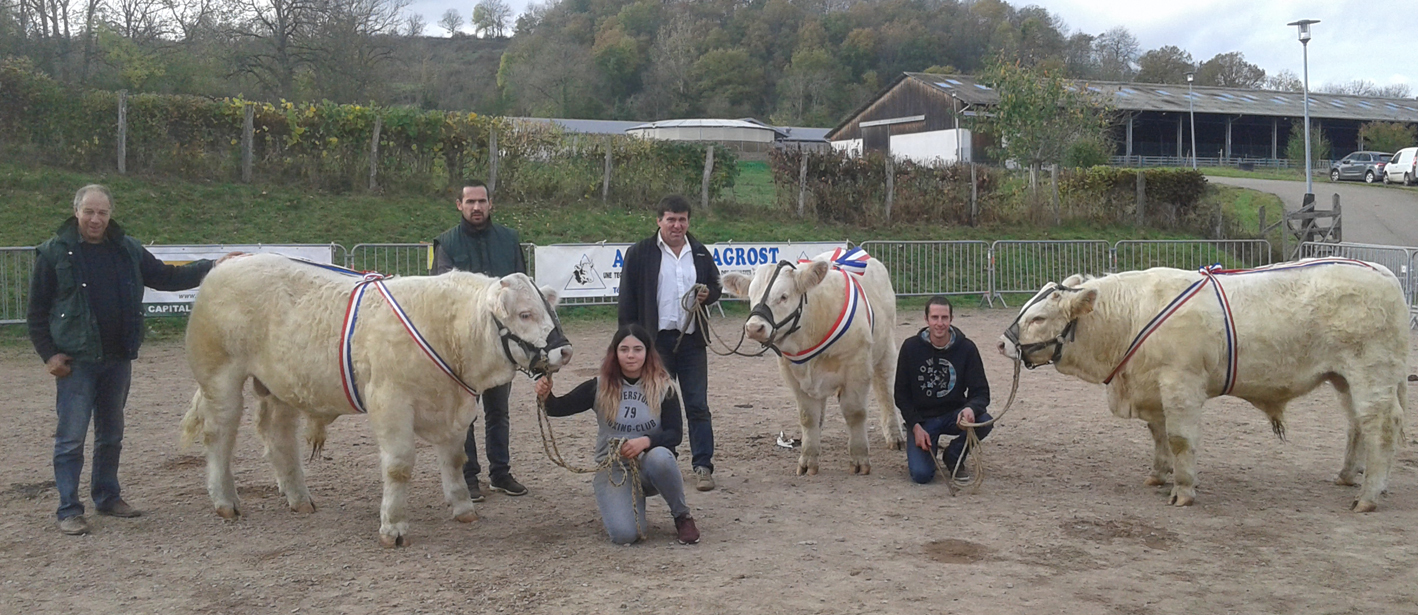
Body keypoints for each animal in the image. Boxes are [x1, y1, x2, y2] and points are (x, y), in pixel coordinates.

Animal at [182, 252, 570, 544]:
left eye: (551, 311)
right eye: (524, 314)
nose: (564, 350)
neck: (447, 333)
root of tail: (233, 260)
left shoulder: (456, 408)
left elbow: (455, 459)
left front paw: (463, 509)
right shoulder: (390, 401)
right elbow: (399, 466)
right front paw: (393, 527)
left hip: (281, 386)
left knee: (280, 438)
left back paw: (299, 498)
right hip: (220, 376)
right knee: (219, 435)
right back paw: (226, 501)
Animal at [726, 249, 901, 476]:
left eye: (783, 296)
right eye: (751, 296)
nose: (754, 328)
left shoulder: (858, 367)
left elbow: (855, 413)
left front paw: (860, 459)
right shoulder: (792, 374)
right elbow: (807, 417)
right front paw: (808, 460)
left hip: (886, 350)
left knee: (885, 392)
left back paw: (895, 436)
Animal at [998, 256, 1406, 512]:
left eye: (1038, 318)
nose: (1002, 343)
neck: (1131, 317)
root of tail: (1382, 271)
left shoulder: (1181, 383)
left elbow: (1179, 438)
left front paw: (1183, 491)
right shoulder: (1153, 387)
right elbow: (1159, 434)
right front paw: (1159, 475)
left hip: (1372, 373)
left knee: (1379, 428)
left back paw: (1368, 496)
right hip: (1344, 378)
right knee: (1356, 425)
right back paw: (1347, 476)